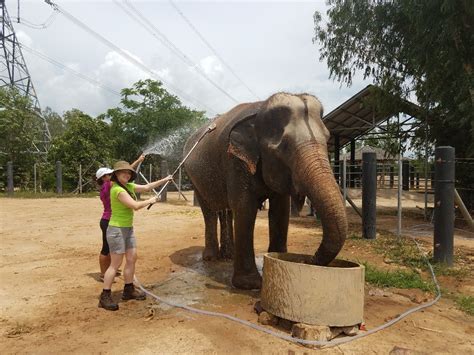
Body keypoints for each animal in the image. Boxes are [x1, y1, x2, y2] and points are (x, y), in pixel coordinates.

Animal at [184, 93, 348, 290]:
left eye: (327, 138)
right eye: (284, 146)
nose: (308, 260)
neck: (260, 109)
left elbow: (280, 211)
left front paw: (278, 260)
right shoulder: (236, 161)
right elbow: (245, 208)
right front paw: (250, 284)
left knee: (226, 210)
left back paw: (228, 256)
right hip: (193, 176)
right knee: (209, 210)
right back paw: (210, 258)